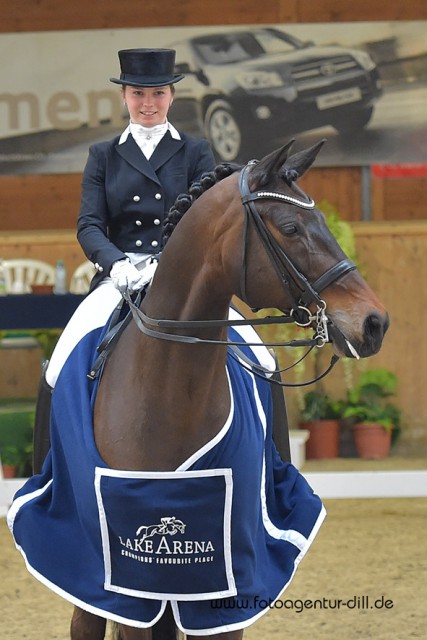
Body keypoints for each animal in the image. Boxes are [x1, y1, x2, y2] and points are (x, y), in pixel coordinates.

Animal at [10, 140, 392, 640]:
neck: (168, 390)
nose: (374, 322)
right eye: (291, 228)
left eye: (326, 223)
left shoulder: (225, 582)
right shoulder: (132, 575)